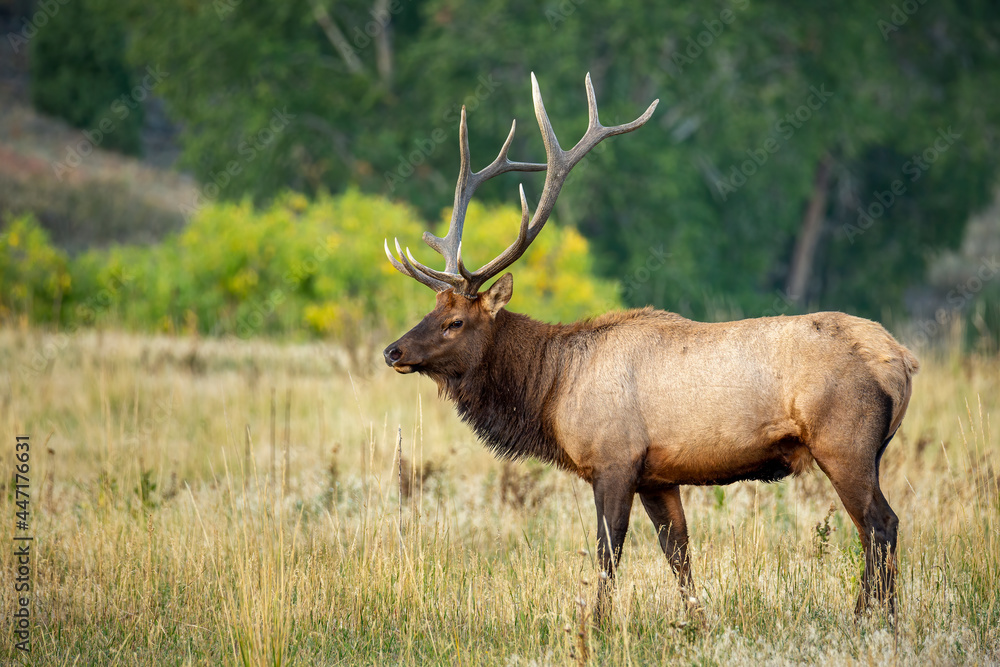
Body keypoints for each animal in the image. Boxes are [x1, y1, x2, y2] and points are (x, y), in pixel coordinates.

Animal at [382, 72, 919, 621]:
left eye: (454, 321)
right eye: (431, 310)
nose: (393, 352)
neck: (552, 390)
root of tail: (901, 362)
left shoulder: (614, 461)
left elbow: (608, 554)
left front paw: (596, 624)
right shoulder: (657, 476)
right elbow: (677, 553)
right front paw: (696, 622)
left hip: (844, 443)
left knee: (881, 525)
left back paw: (873, 620)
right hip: (868, 450)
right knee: (874, 530)